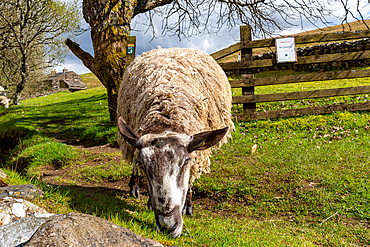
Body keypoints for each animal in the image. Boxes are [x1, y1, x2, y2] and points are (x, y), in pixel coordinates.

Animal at [118, 46, 234, 237]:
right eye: (144, 164)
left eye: (186, 161)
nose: (167, 226)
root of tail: (166, 49)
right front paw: (150, 202)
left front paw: (188, 206)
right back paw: (134, 187)